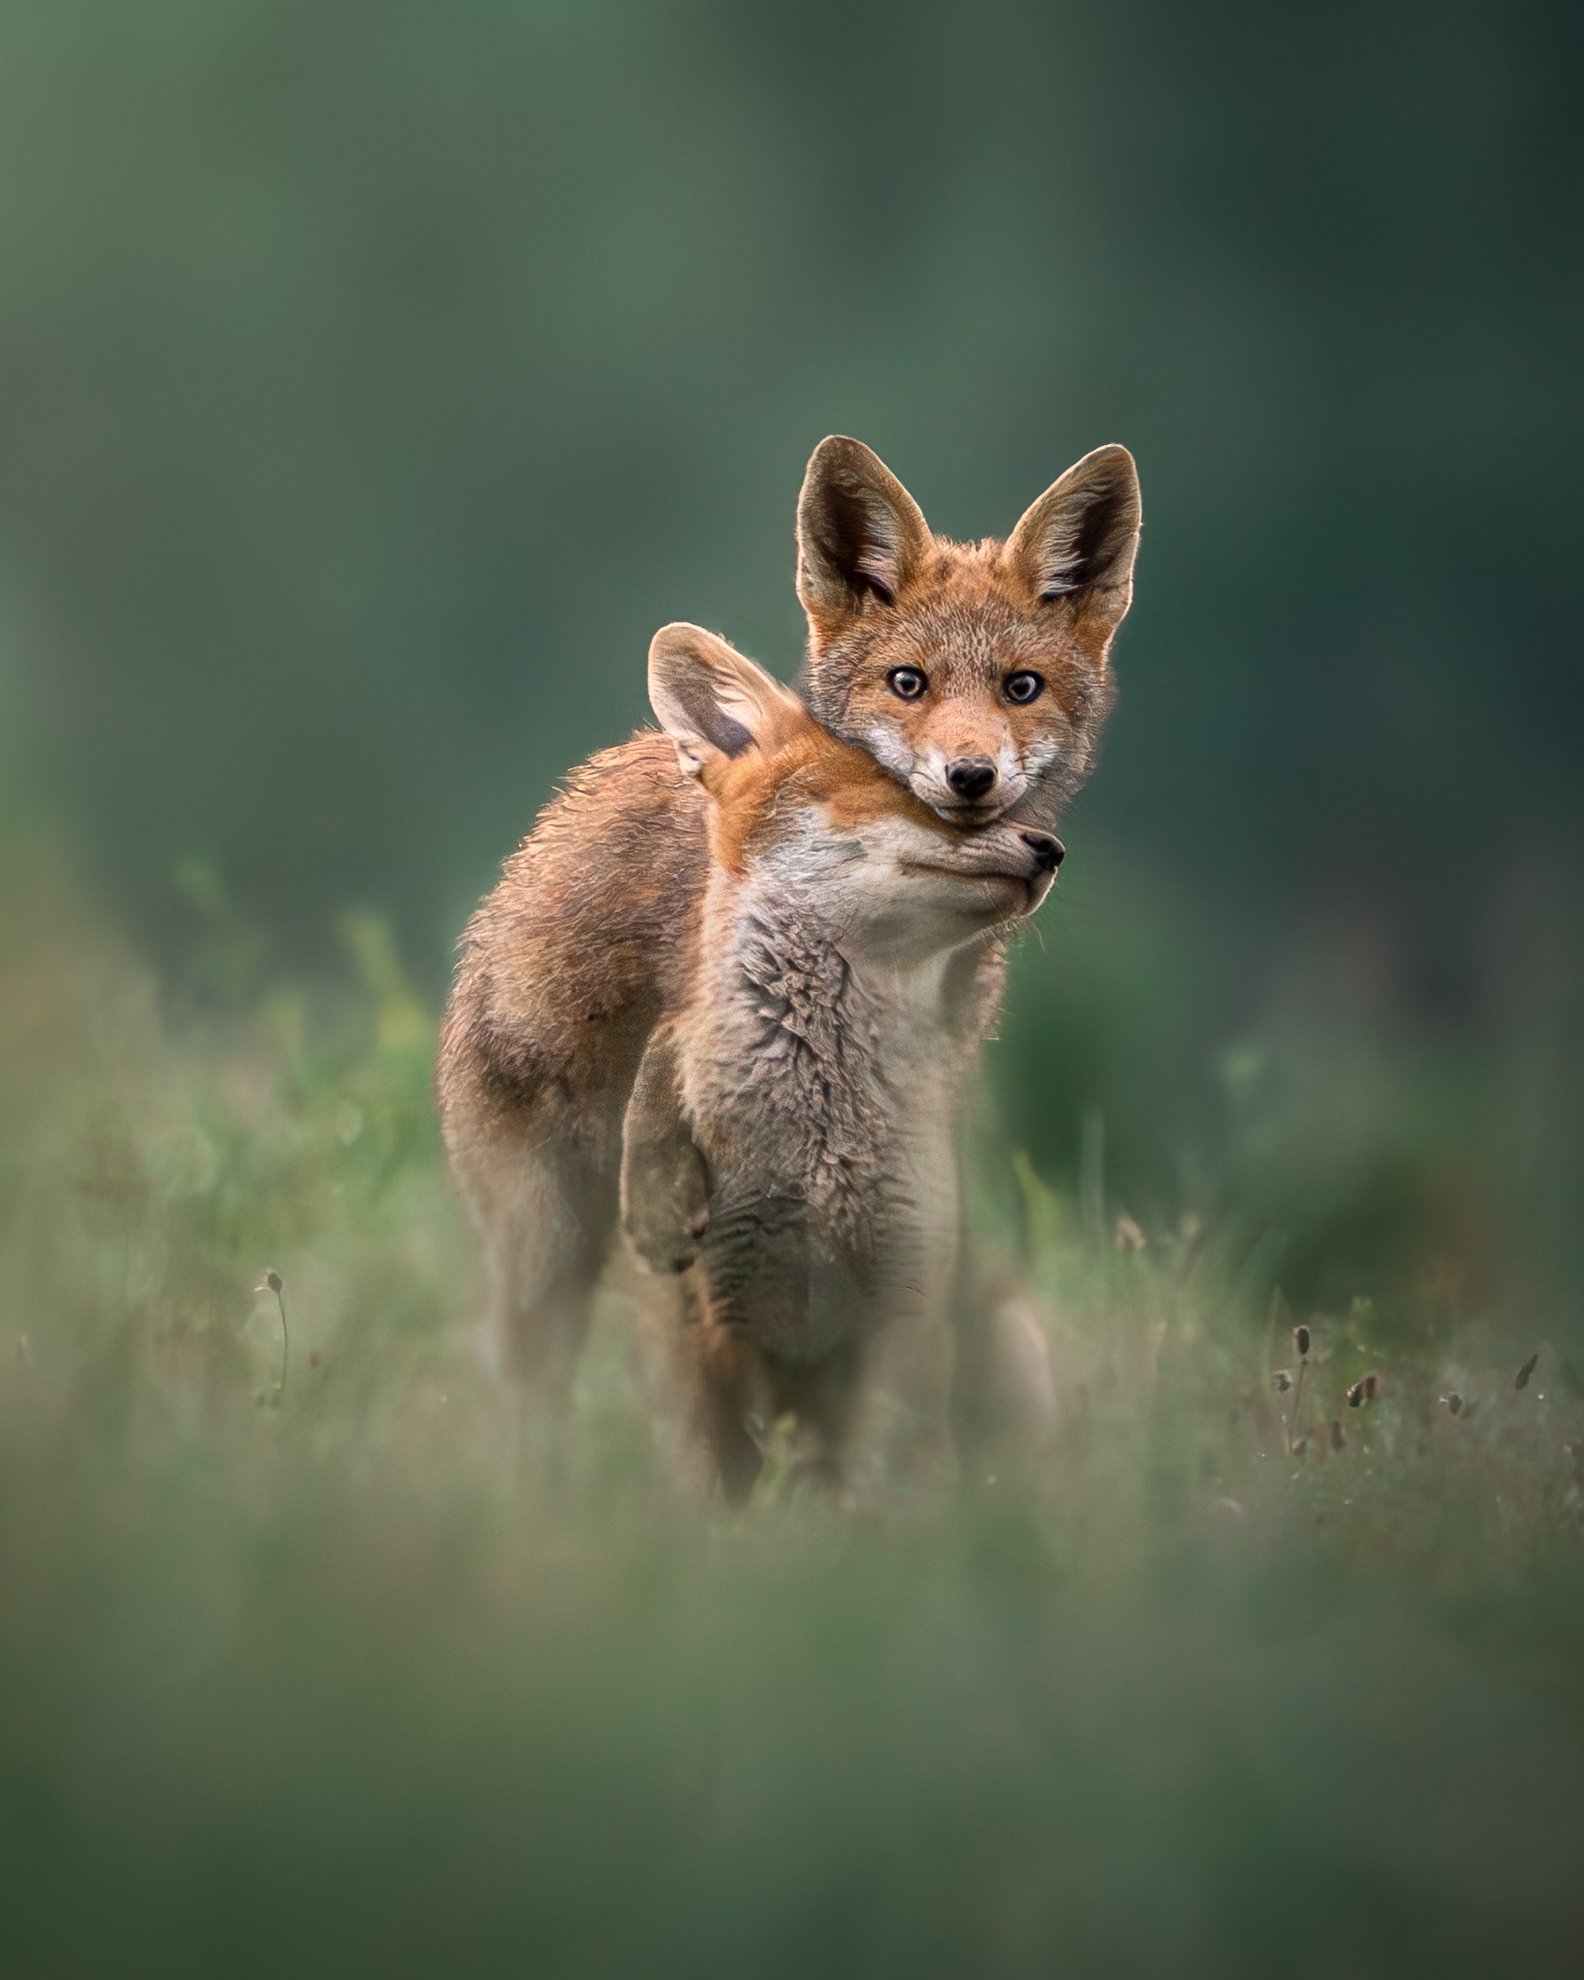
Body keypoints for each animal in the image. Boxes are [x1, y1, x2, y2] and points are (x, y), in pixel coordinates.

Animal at [437, 437, 1140, 1471]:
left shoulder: (896, 1289)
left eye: (1022, 687)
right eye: (907, 687)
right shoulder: (714, 1313)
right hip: (544, 1251)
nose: (978, 786)